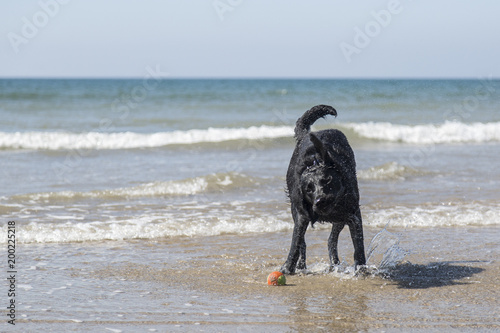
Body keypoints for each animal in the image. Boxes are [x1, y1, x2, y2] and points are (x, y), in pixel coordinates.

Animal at [282, 105, 368, 274]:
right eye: (308, 189)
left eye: (327, 180)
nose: (321, 201)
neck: (315, 162)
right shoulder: (301, 215)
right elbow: (296, 242)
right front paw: (288, 268)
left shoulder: (353, 214)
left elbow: (358, 244)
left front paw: (361, 269)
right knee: (304, 242)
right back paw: (302, 266)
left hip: (340, 219)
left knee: (331, 240)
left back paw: (334, 264)